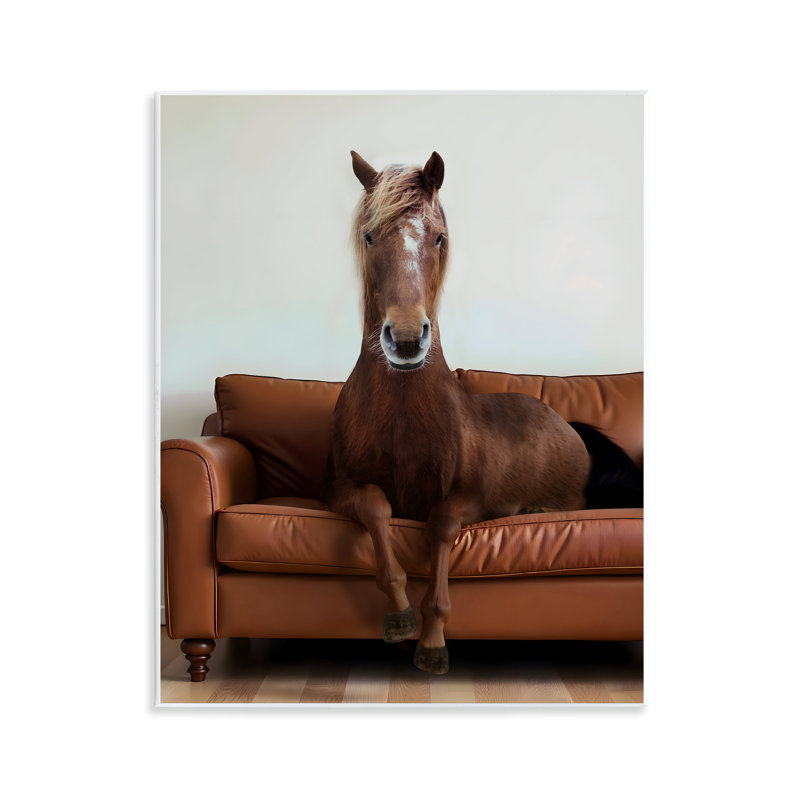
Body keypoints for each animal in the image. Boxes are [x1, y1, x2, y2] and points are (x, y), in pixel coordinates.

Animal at [324, 151, 639, 674]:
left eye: (438, 237)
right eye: (369, 236)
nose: (406, 339)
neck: (404, 419)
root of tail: (564, 421)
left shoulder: (472, 499)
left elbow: (441, 527)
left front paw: (432, 640)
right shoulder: (341, 491)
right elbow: (376, 507)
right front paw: (401, 615)